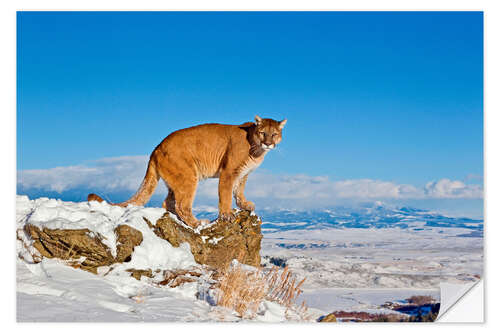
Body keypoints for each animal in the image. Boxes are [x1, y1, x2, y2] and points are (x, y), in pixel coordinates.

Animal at [88, 115, 288, 227]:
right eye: (263, 133)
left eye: (274, 134)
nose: (268, 143)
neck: (256, 148)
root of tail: (156, 148)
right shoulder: (229, 172)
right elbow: (225, 194)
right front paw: (227, 216)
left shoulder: (243, 174)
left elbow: (239, 191)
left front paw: (245, 205)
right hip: (189, 176)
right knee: (182, 205)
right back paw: (197, 223)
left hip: (176, 179)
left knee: (168, 202)